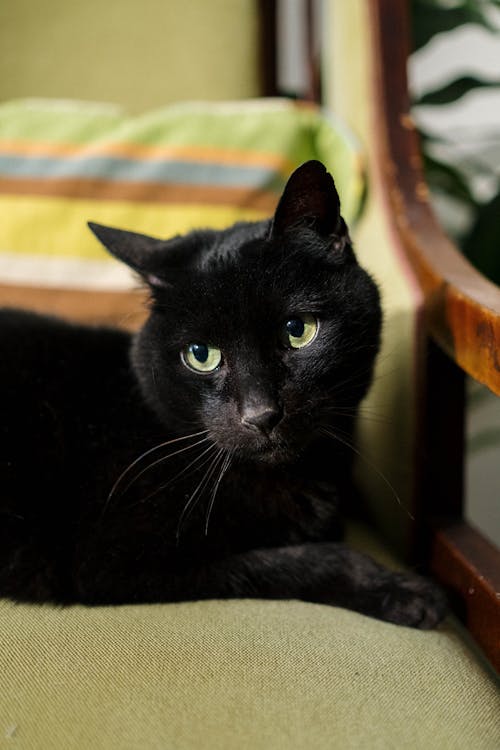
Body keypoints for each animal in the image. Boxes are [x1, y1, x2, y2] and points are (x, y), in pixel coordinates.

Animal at [0, 163, 446, 628]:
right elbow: (301, 560)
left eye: (298, 330)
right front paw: (403, 591)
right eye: (201, 355)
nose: (261, 414)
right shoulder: (112, 563)